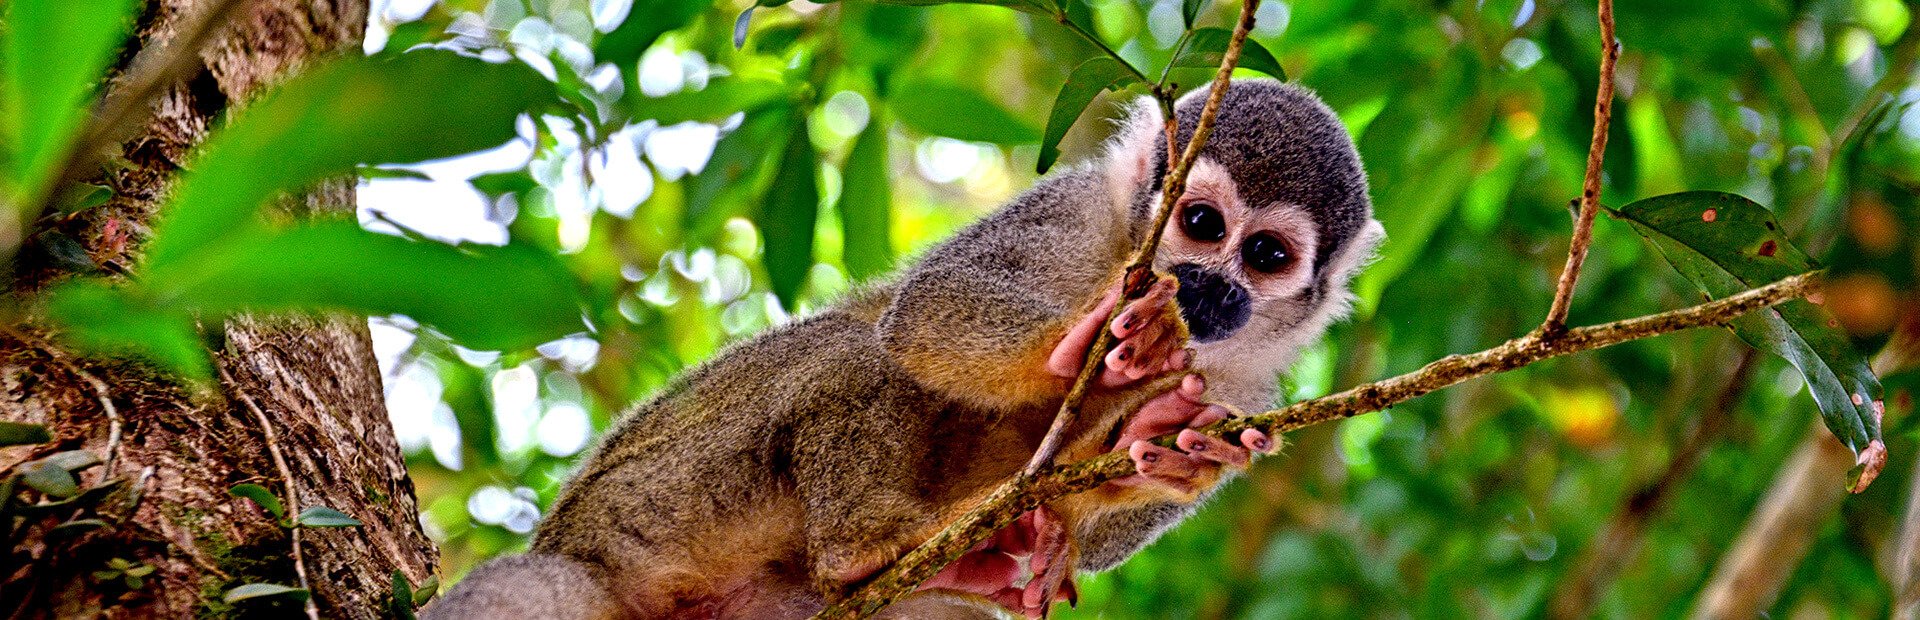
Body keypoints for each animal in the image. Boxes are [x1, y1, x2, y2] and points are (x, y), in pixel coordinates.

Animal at [425, 78, 1383, 620]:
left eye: (1266, 256)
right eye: (1201, 224)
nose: (1205, 289)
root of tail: (573, 545)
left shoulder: (1256, 381)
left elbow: (1114, 516)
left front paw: (1166, 447)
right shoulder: (1071, 212)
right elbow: (923, 319)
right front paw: (1081, 347)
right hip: (657, 498)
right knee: (860, 351)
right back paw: (865, 542)